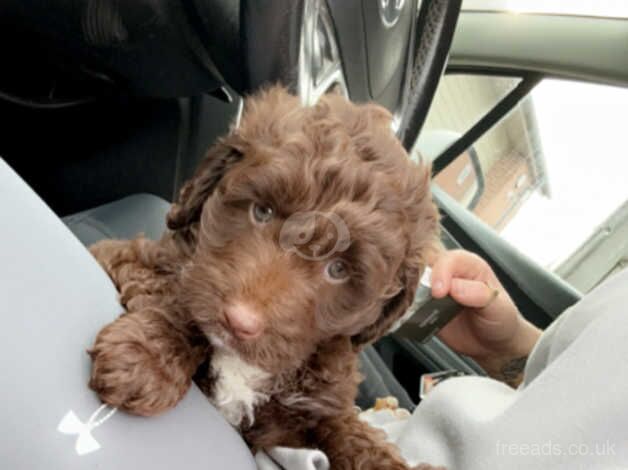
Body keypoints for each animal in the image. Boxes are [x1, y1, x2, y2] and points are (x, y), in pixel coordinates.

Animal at [88, 86, 442, 468]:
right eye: (262, 211)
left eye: (338, 269)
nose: (240, 321)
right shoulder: (132, 256)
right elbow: (178, 295)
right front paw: (145, 360)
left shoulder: (313, 409)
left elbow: (350, 434)